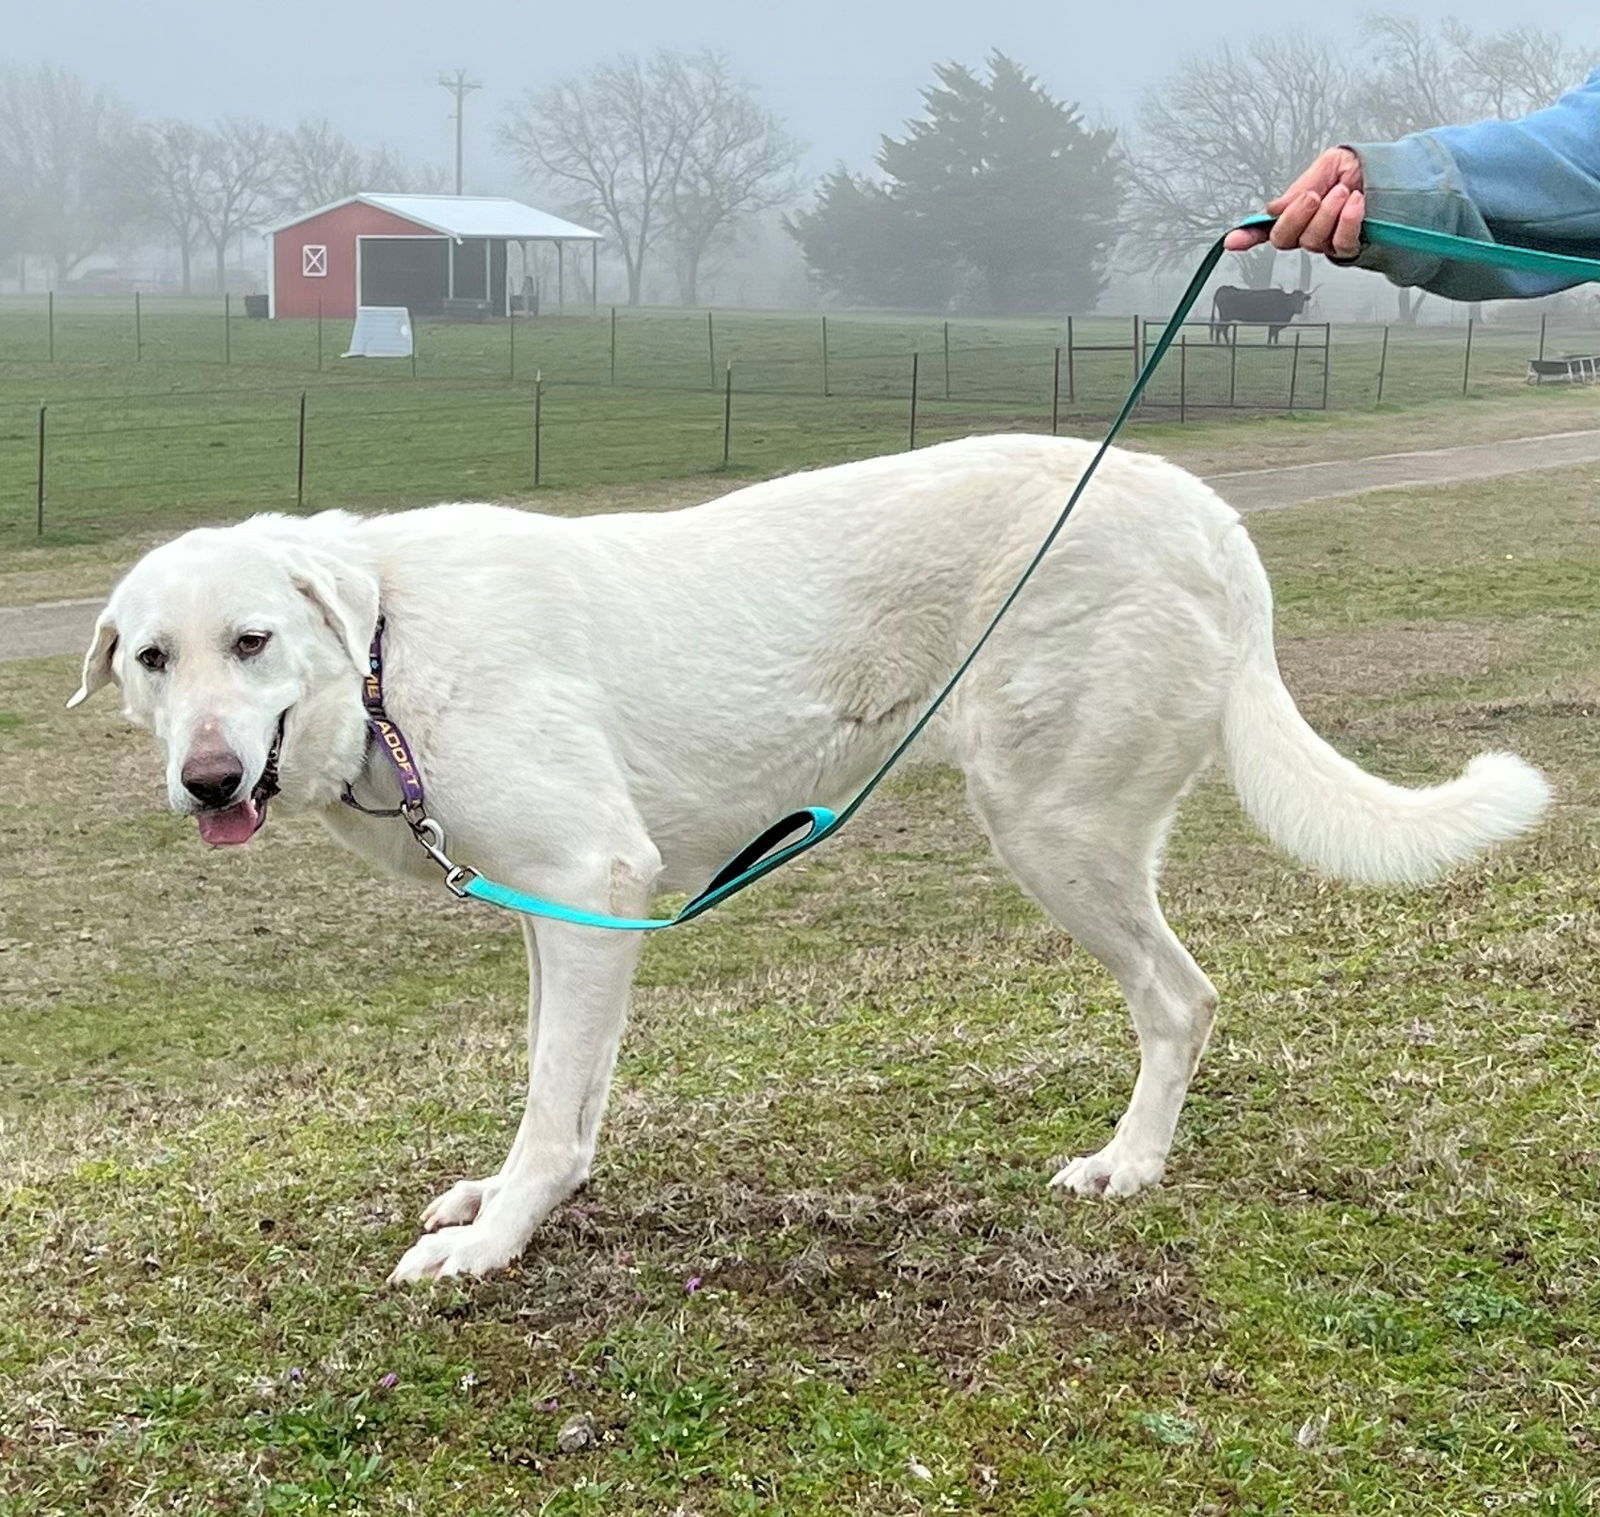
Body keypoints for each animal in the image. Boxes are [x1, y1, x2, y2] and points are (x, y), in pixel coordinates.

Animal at [72, 435, 1548, 1280]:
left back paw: (1129, 1164)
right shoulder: (567, 914)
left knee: (1180, 1000)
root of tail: (1212, 522)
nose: (206, 782)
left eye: (252, 641)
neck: (387, 648)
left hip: (1053, 828)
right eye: (152, 659)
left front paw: (500, 1239)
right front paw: (523, 1197)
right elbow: (566, 1088)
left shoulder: (591, 883)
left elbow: (550, 1102)